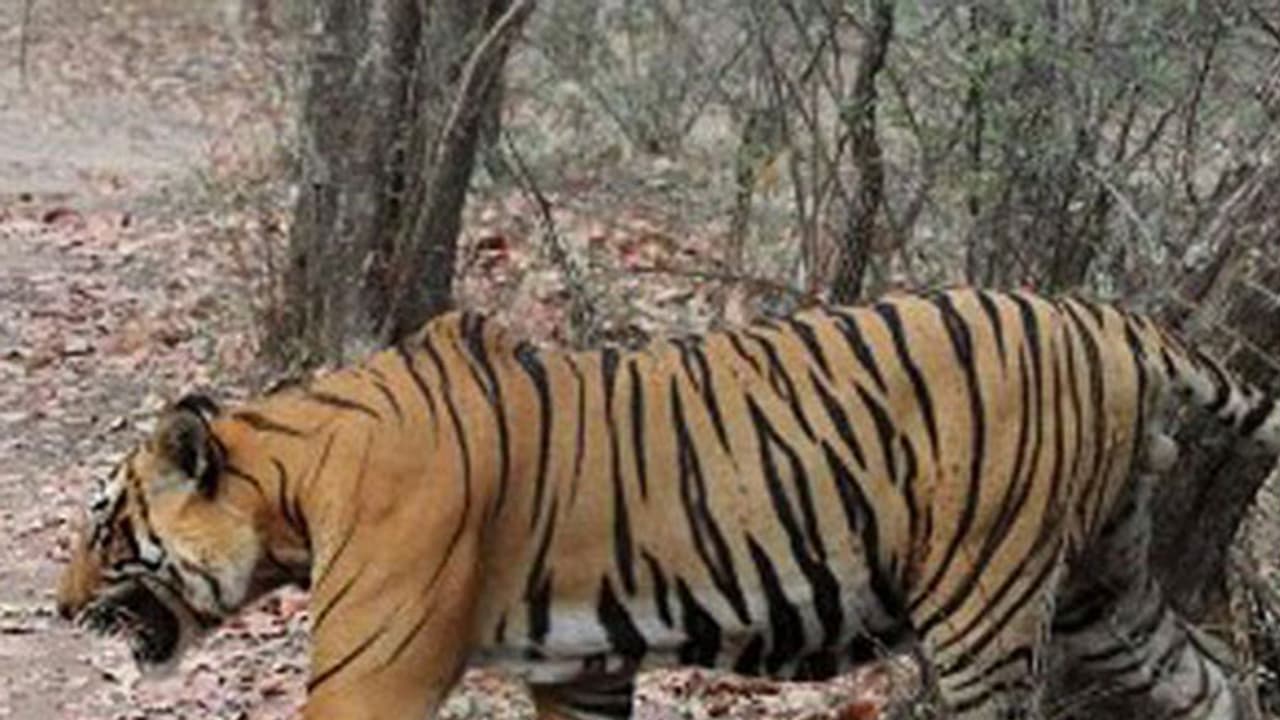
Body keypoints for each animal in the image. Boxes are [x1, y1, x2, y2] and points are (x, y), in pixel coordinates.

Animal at [55, 287, 1280, 719]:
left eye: (107, 529)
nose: (57, 611)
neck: (297, 484)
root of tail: (1105, 316)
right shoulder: (579, 670)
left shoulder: (373, 677)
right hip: (1102, 592)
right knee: (1214, 685)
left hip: (986, 601)